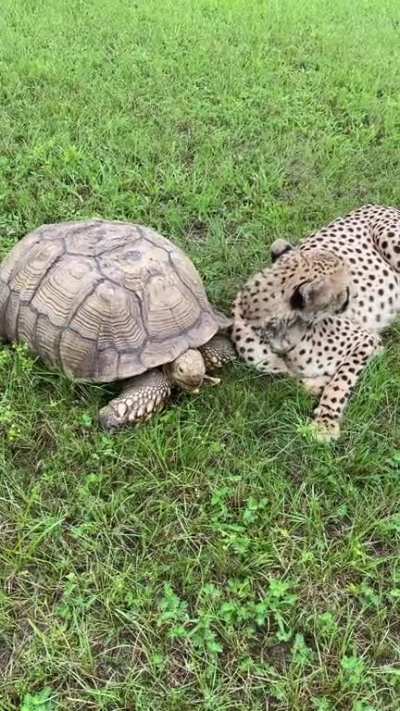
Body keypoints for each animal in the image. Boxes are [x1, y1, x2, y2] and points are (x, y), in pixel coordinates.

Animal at [232, 204, 400, 441]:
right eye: (342, 290)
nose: (351, 299)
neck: (282, 337)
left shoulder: (365, 341)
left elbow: (340, 382)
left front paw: (325, 422)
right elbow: (285, 376)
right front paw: (315, 384)